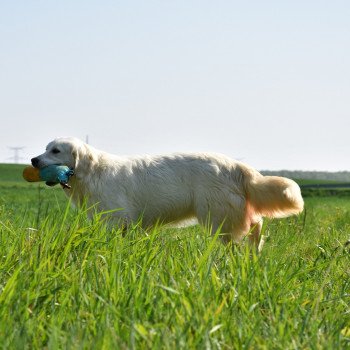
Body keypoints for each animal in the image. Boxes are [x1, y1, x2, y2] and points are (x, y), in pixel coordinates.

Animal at [31, 137, 304, 249]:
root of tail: (237, 165)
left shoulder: (118, 220)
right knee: (256, 224)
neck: (91, 172)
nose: (33, 160)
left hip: (216, 216)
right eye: (45, 148)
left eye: (55, 150)